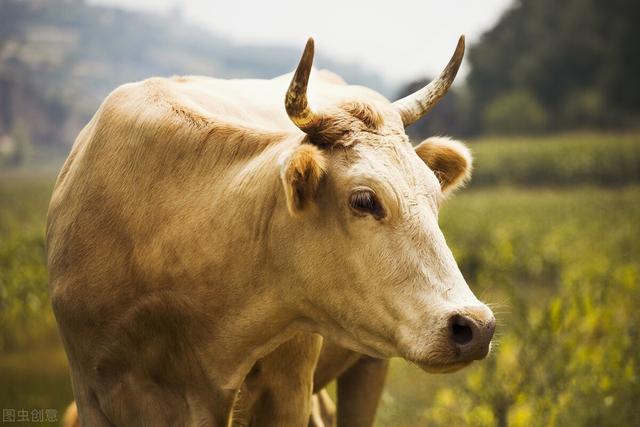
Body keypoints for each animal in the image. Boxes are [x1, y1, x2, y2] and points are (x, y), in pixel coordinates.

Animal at [47, 36, 496, 427]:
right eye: (364, 200)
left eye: (435, 194)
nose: (475, 326)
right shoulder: (90, 395)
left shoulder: (285, 393)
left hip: (366, 366)